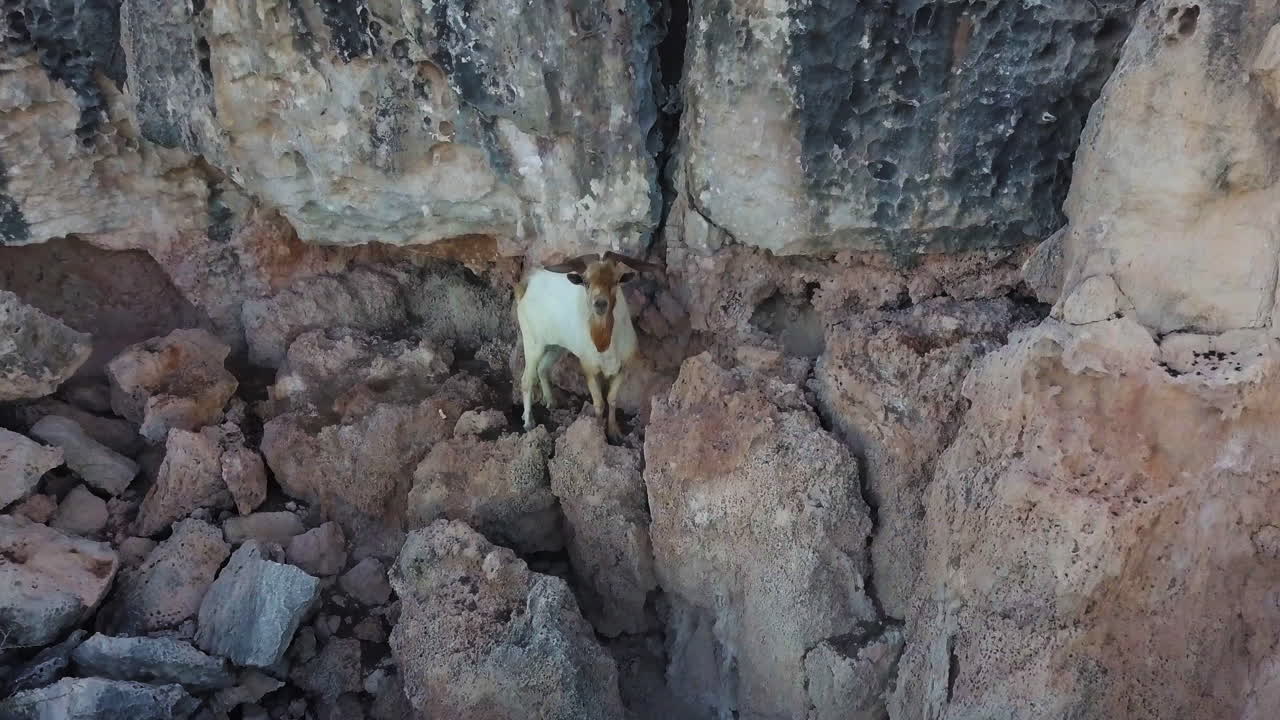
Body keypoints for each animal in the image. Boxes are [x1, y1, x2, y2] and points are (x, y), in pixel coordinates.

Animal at [515, 251, 661, 440]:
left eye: (616, 280)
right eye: (585, 281)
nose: (600, 304)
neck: (605, 344)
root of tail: (525, 286)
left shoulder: (622, 368)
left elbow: (612, 399)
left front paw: (614, 432)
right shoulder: (589, 367)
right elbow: (599, 402)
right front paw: (597, 432)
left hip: (556, 346)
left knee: (543, 369)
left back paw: (551, 403)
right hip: (533, 342)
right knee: (526, 379)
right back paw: (528, 422)